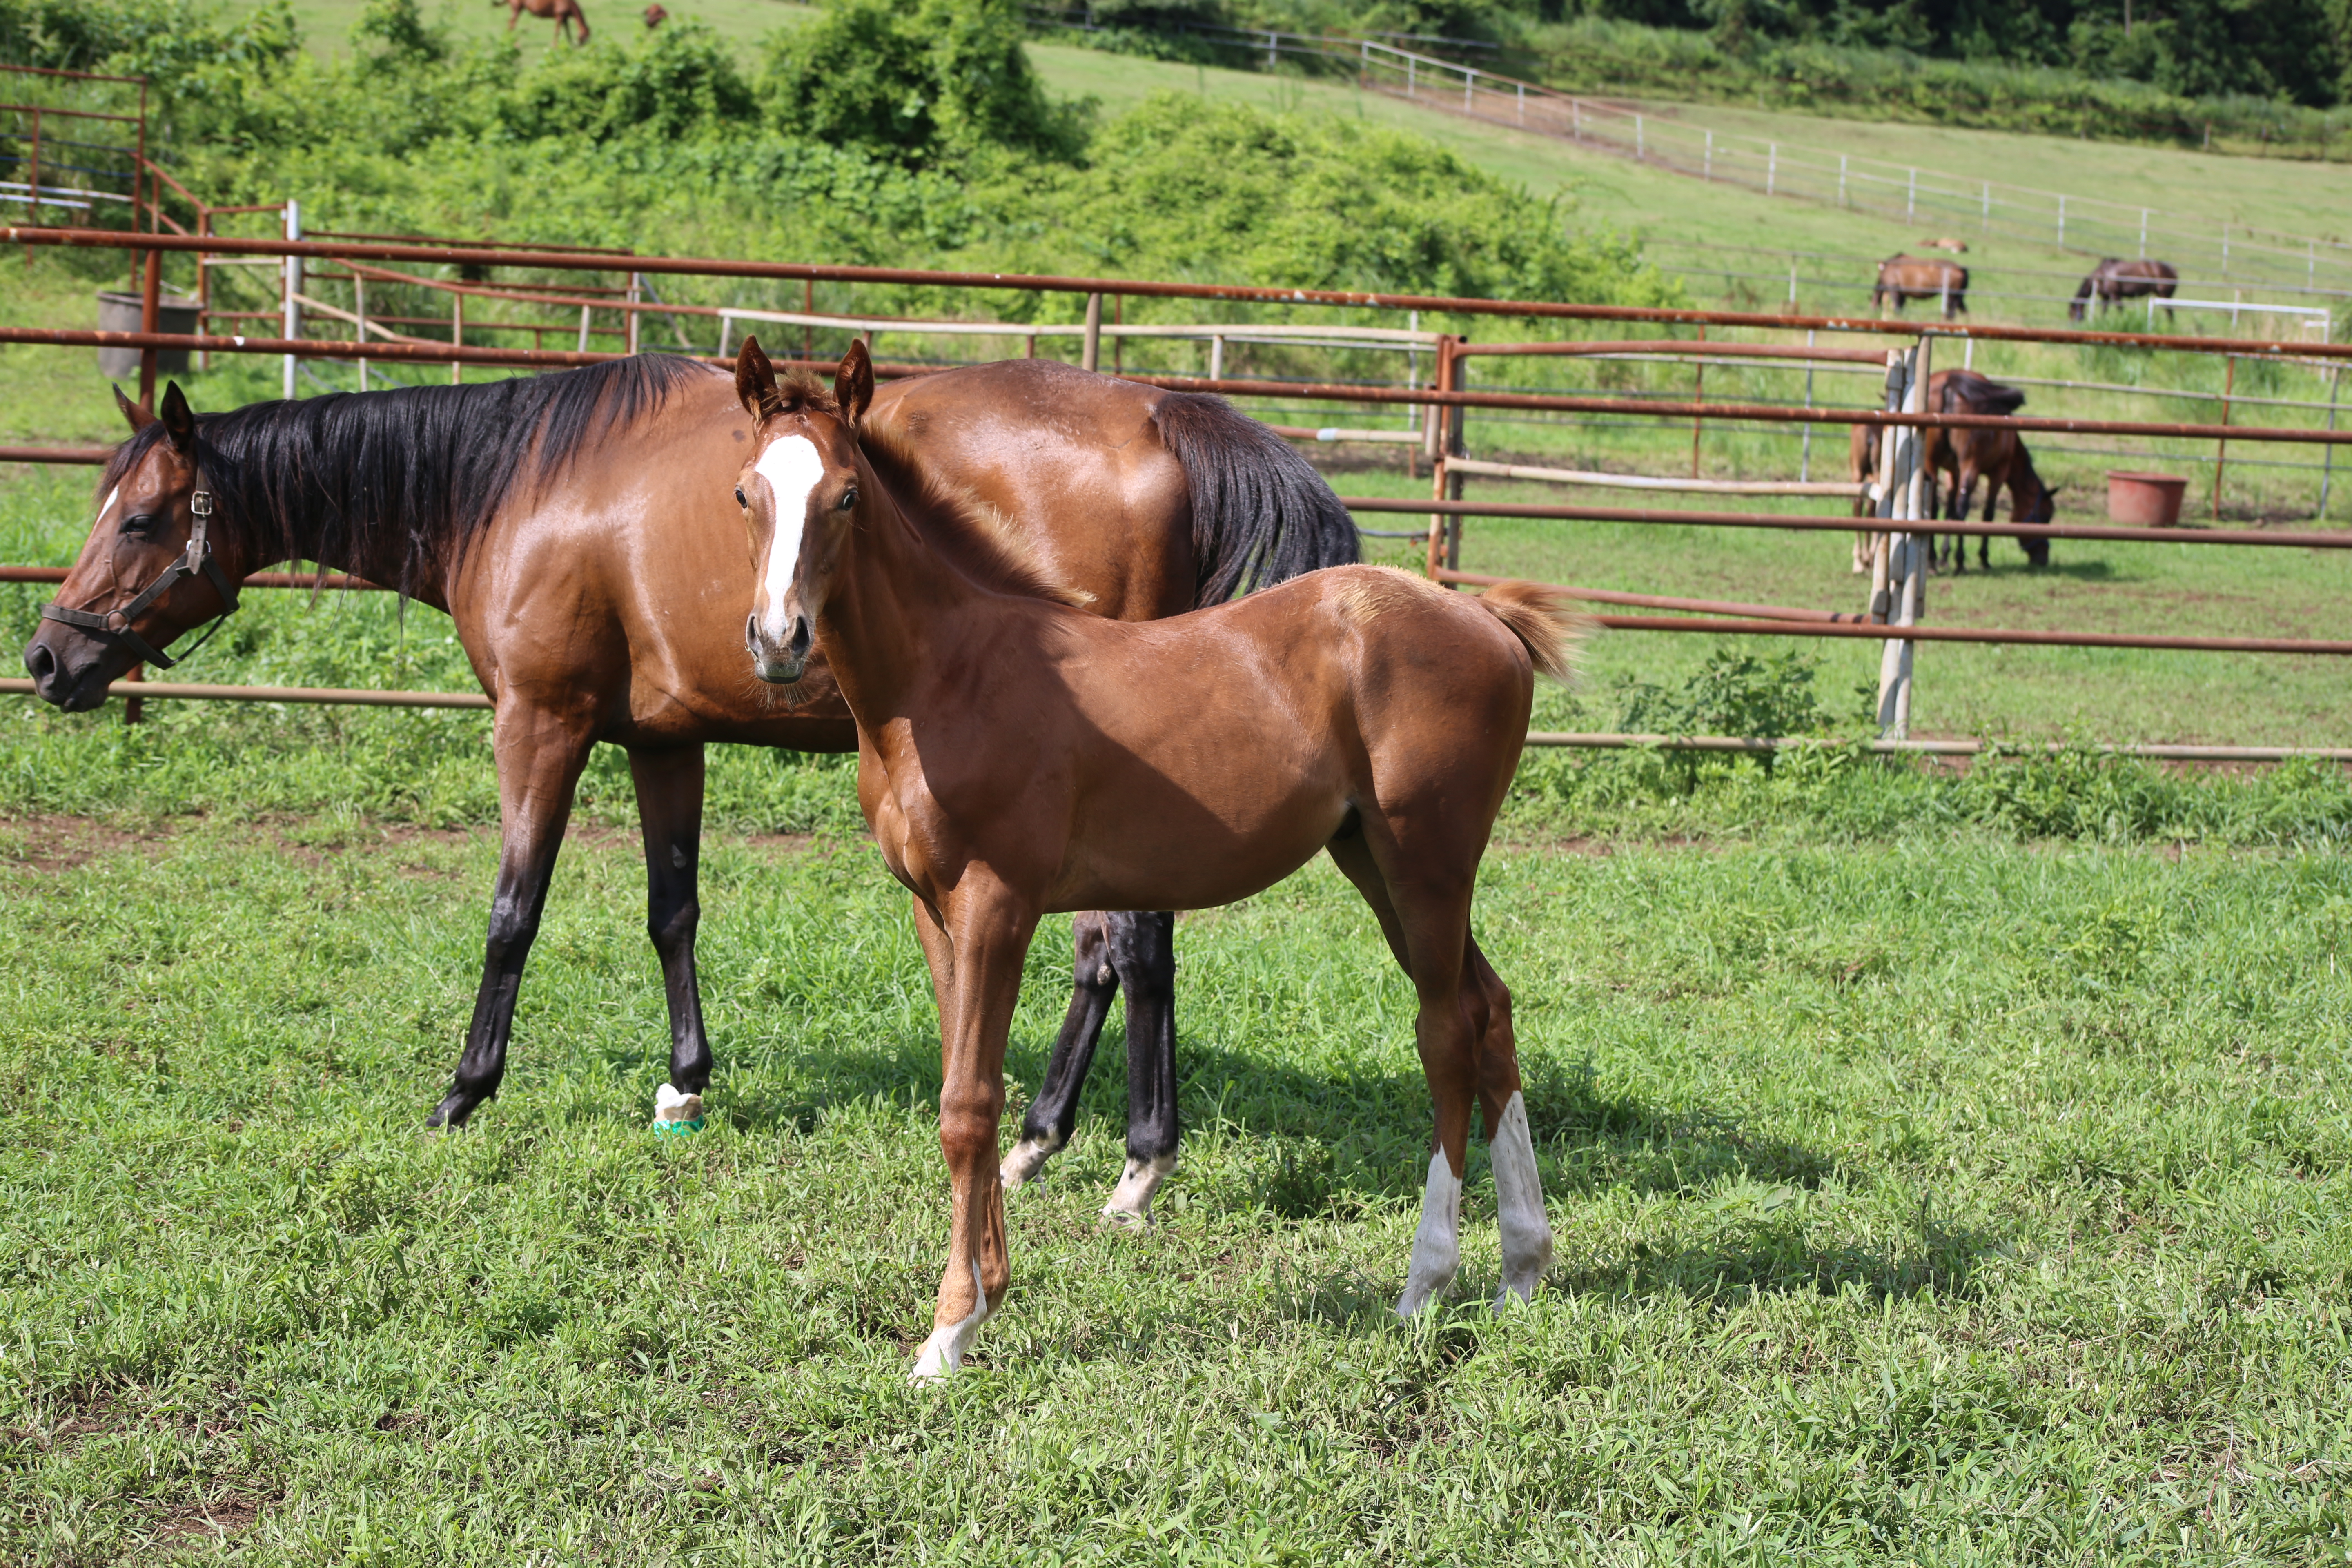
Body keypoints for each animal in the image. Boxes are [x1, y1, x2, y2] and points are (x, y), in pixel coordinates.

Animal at [23, 355, 1364, 1222]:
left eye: (142, 518)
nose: (47, 657)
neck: (519, 482)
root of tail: (1168, 416)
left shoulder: (542, 723)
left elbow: (513, 912)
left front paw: (465, 1089)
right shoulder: (662, 740)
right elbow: (672, 908)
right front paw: (685, 1077)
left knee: (1133, 944)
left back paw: (1132, 1161)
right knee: (1112, 951)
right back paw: (1044, 1140)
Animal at [491, 0, 588, 45]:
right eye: (586, 37)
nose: (581, 46)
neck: (569, 3)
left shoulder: (565, 19)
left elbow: (568, 33)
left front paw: (570, 45)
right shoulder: (559, 17)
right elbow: (557, 32)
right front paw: (554, 45)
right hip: (517, 10)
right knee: (512, 25)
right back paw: (515, 44)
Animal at [729, 341, 1580, 1373]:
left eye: (847, 495)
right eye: (745, 493)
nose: (778, 640)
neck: (949, 673)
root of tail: (1488, 619)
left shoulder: (996, 905)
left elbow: (969, 1105)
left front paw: (947, 1334)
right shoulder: (932, 909)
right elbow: (963, 1098)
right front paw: (984, 1297)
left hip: (1426, 864)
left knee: (1446, 1031)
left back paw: (1425, 1284)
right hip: (1377, 861)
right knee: (1488, 1010)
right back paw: (1521, 1269)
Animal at [1872, 256, 1966, 319]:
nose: (1873, 313)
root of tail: (1961, 268)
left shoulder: (1894, 290)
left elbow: (1897, 308)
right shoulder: (1902, 294)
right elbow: (1899, 308)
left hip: (1951, 296)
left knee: (1952, 311)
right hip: (1958, 296)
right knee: (1963, 310)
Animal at [2069, 258, 2173, 324]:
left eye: (2071, 313)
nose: (2070, 325)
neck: (2103, 274)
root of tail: (2173, 270)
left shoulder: (2115, 295)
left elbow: (2120, 309)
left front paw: (2124, 320)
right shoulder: (2105, 297)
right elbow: (2104, 311)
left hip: (2164, 295)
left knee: (2169, 311)